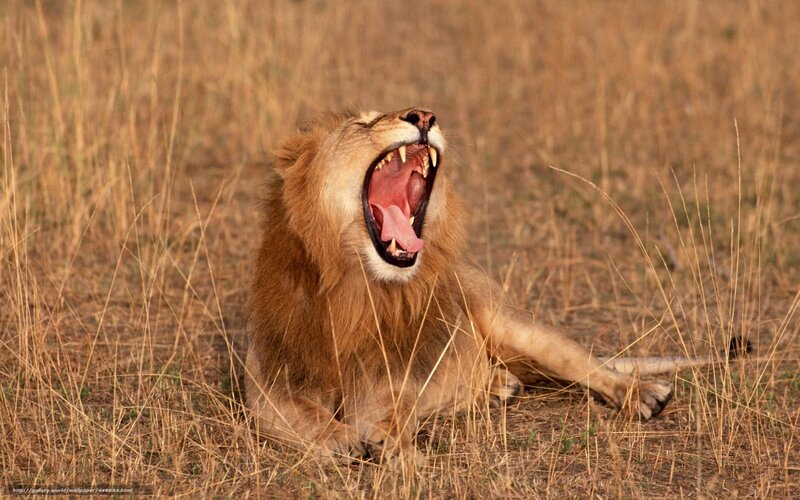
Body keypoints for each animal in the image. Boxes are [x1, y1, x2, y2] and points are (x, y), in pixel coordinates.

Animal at [244, 108, 747, 467]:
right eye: (363, 122)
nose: (423, 115)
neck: (356, 287)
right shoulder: (268, 383)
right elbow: (295, 414)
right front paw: (336, 438)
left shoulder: (394, 379)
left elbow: (396, 409)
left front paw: (394, 442)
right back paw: (498, 386)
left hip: (517, 325)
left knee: (591, 366)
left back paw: (644, 394)